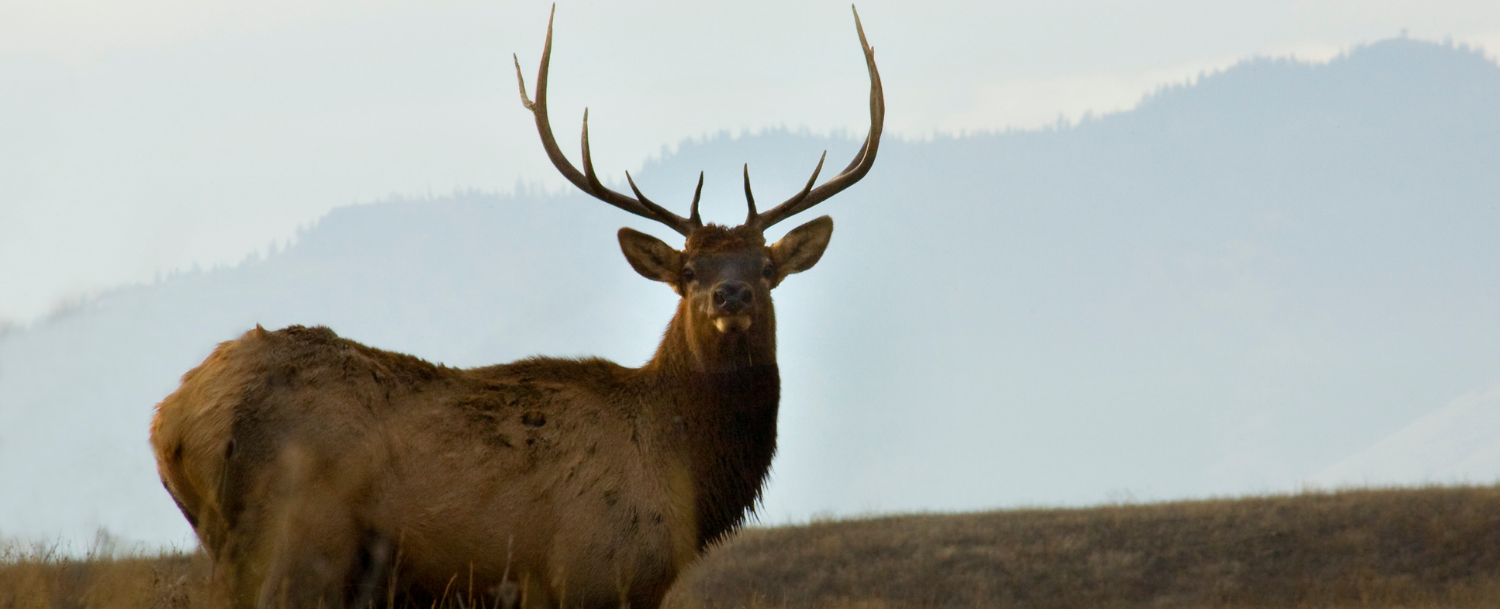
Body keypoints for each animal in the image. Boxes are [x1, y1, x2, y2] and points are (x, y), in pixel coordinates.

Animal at [149, 5, 876, 609]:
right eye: (689, 270)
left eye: (766, 267)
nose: (731, 294)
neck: (692, 478)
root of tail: (173, 419)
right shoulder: (592, 571)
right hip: (300, 538)